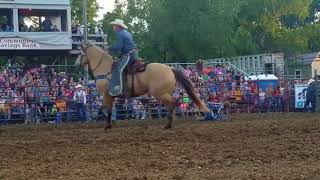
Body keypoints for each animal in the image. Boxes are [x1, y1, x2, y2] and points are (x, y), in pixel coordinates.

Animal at [76, 42, 209, 129]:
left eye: (81, 53)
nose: (76, 64)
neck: (105, 69)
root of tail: (170, 69)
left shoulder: (106, 94)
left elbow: (103, 109)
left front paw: (108, 125)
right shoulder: (109, 96)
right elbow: (106, 109)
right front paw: (110, 124)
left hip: (159, 93)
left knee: (173, 103)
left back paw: (168, 124)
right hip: (165, 92)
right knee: (172, 104)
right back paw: (169, 123)